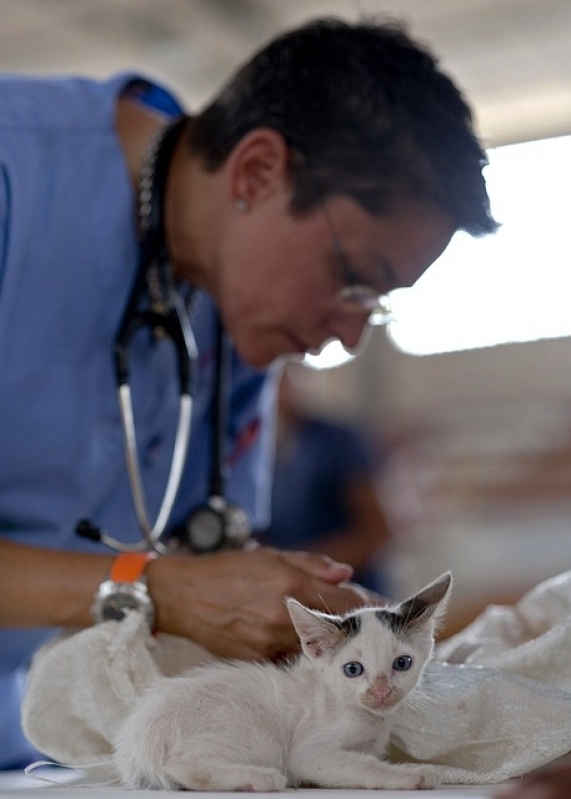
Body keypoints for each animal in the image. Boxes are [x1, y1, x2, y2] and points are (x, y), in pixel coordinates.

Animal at [114, 572, 452, 792]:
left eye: (402, 663)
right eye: (353, 669)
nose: (381, 692)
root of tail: (140, 737)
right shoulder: (309, 754)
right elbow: (362, 767)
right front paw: (414, 774)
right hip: (254, 736)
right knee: (181, 766)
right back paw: (260, 779)